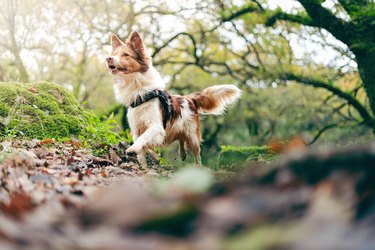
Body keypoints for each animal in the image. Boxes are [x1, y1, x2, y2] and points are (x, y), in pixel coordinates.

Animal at [106, 31, 241, 167]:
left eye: (126, 54)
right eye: (114, 54)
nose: (108, 58)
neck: (137, 87)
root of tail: (189, 98)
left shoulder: (156, 126)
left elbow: (144, 137)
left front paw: (132, 148)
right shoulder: (136, 129)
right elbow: (142, 154)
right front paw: (144, 168)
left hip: (193, 136)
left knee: (197, 156)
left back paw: (197, 166)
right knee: (181, 138)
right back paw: (182, 153)